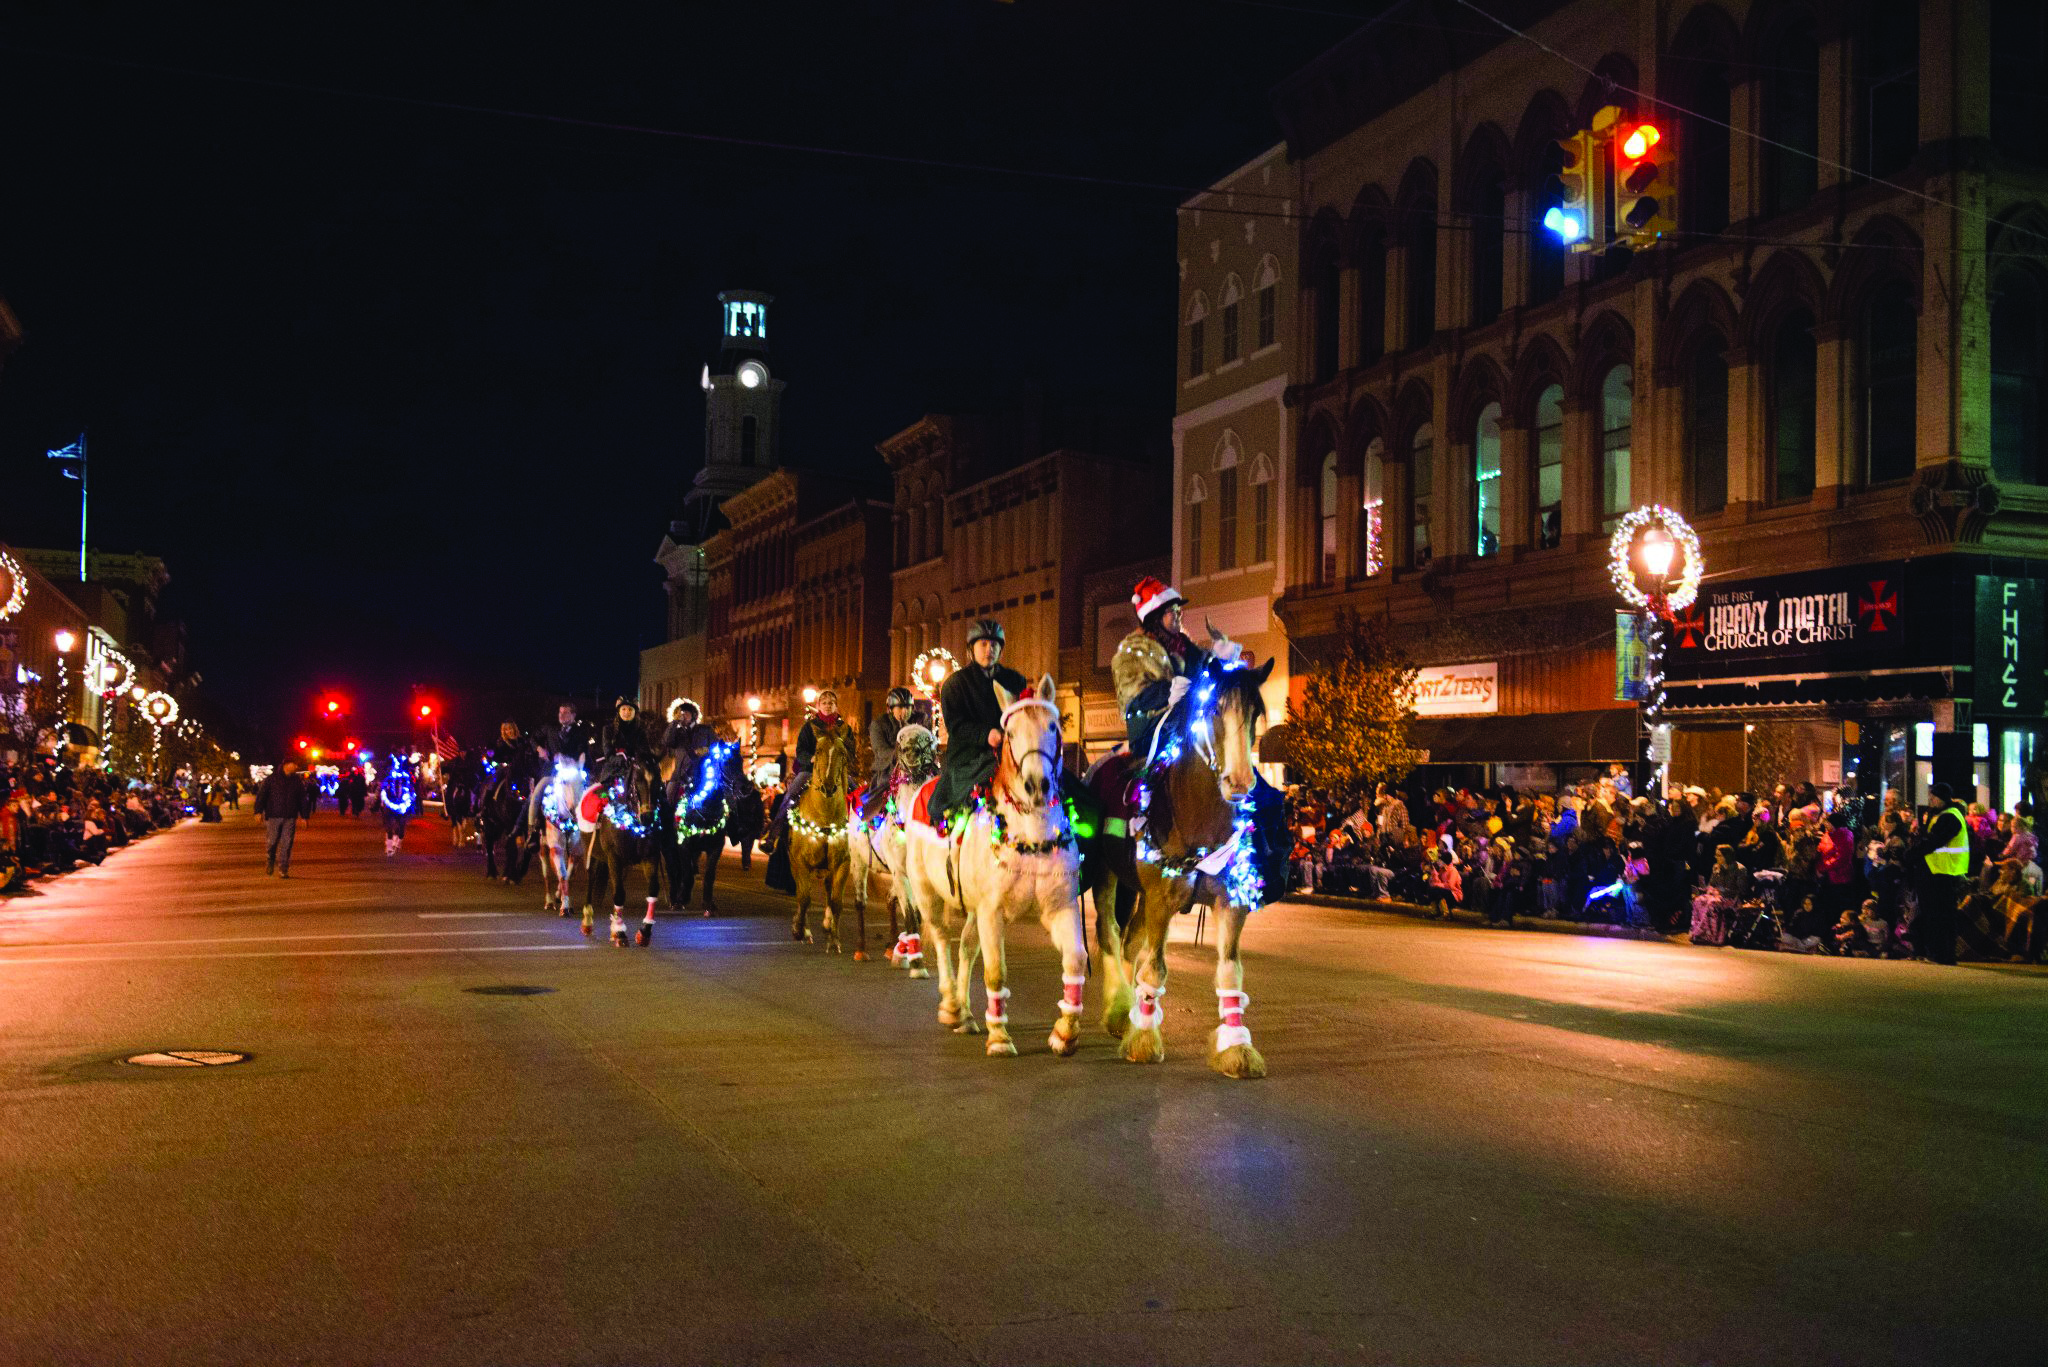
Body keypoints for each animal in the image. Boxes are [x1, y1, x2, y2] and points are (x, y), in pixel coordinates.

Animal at [581, 754, 659, 946]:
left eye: (658, 781)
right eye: (637, 781)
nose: (647, 817)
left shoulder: (650, 856)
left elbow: (653, 889)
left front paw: (644, 932)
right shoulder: (614, 857)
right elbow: (619, 894)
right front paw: (621, 933)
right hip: (592, 853)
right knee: (591, 879)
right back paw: (588, 922)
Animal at [782, 725, 847, 963]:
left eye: (842, 753)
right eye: (818, 751)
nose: (828, 787)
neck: (825, 817)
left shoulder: (841, 864)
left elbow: (836, 901)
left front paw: (834, 941)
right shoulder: (800, 863)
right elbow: (804, 898)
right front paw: (799, 929)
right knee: (802, 895)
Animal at [847, 725, 942, 971]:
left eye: (928, 739)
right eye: (900, 740)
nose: (911, 752)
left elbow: (915, 913)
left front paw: (907, 952)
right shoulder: (901, 872)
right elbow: (910, 915)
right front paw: (916, 961)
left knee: (891, 901)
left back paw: (892, 948)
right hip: (858, 861)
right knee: (860, 902)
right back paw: (861, 950)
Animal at [901, 672, 1089, 1057]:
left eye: (1052, 726)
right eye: (1010, 733)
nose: (1036, 785)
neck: (1033, 838)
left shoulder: (1059, 908)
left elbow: (1075, 959)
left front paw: (1065, 1032)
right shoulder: (993, 912)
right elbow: (995, 972)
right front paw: (1000, 1036)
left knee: (966, 946)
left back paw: (966, 1014)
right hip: (928, 896)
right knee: (942, 940)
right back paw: (951, 1005)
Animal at [1081, 655, 1269, 1082]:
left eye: (1255, 711)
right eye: (1211, 709)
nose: (1239, 782)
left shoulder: (1230, 904)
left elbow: (1230, 971)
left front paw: (1238, 1050)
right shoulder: (1161, 899)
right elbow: (1155, 969)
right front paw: (1144, 1042)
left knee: (1130, 940)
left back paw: (1129, 1013)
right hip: (1106, 876)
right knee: (1110, 933)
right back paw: (1119, 1008)